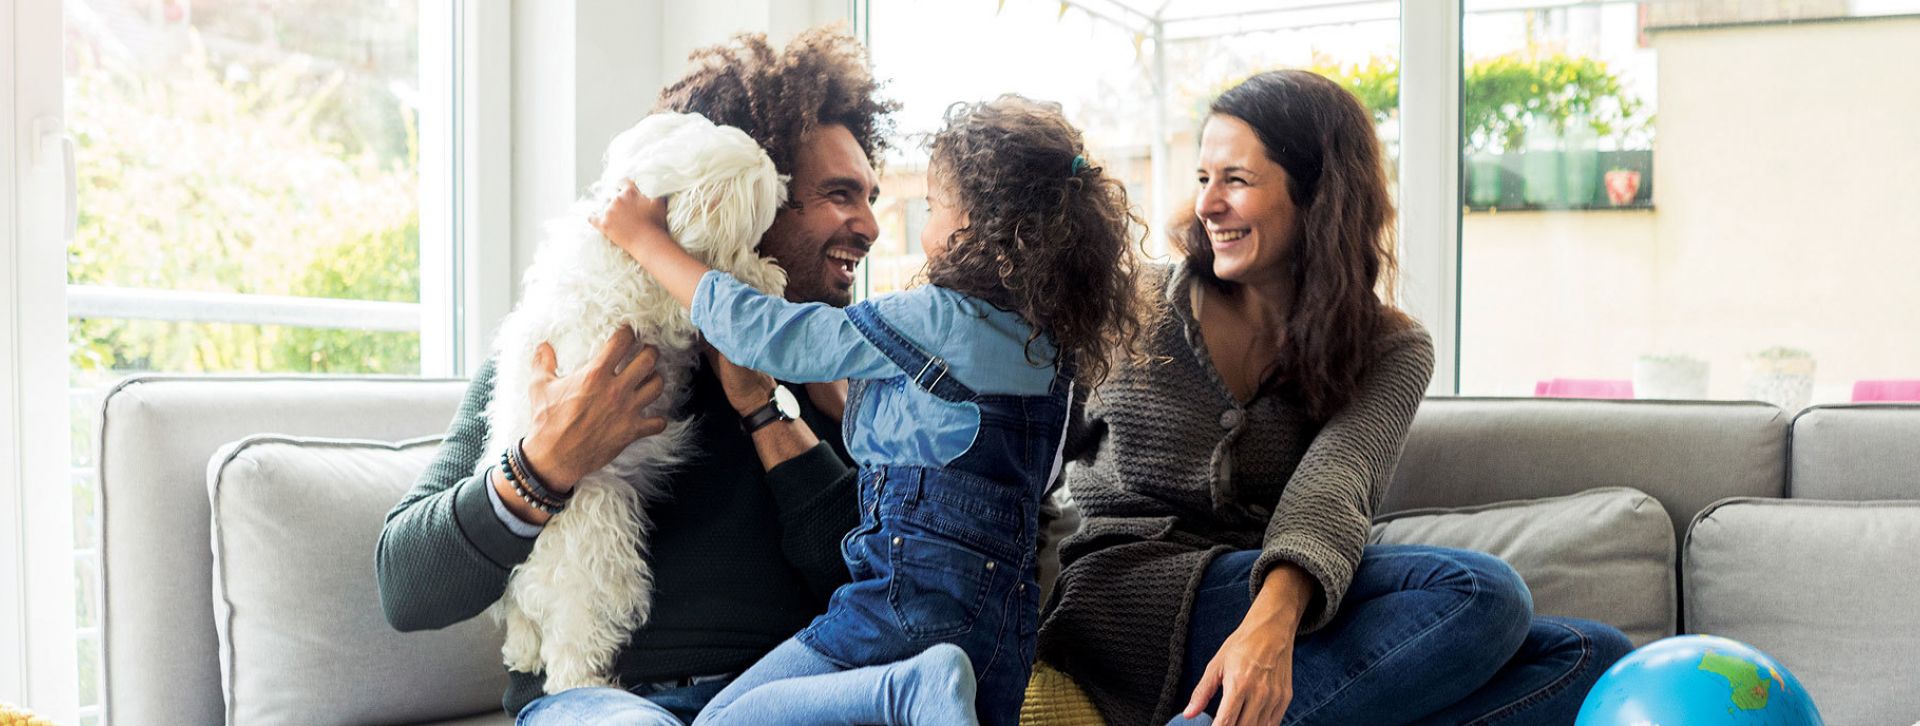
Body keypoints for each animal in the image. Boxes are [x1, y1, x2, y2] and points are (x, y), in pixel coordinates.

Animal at [480, 111, 787, 691]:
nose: (785, 187)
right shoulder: (663, 299)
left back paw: (521, 649)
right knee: (572, 650)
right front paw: (762, 274)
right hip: (603, 552)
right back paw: (583, 683)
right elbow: (706, 286)